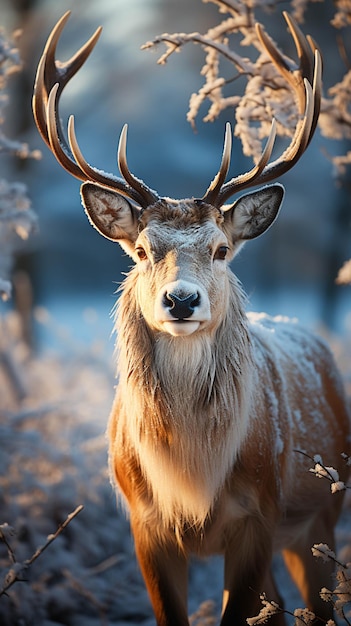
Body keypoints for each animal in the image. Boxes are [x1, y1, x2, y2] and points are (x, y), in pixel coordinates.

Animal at [33, 12, 351, 624]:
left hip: (322, 513)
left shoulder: (258, 515)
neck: (192, 483)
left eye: (222, 249)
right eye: (141, 250)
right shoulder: (143, 523)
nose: (181, 301)